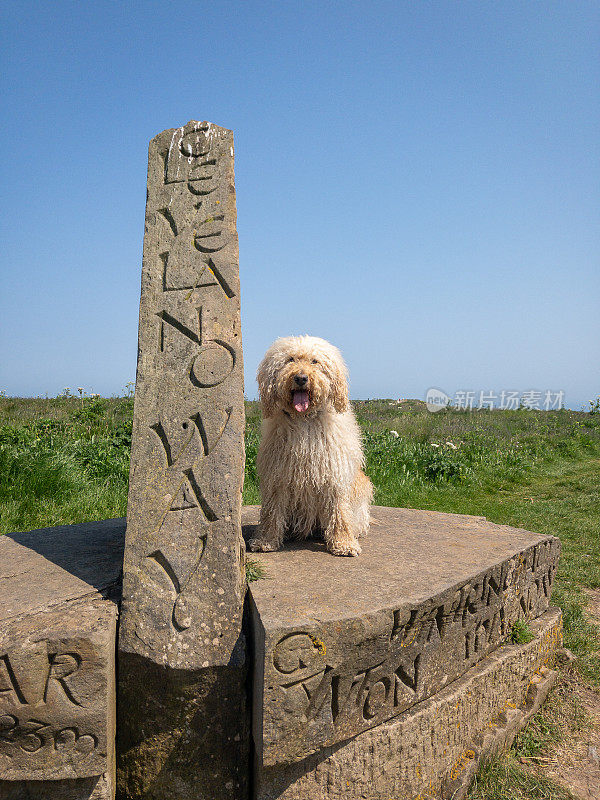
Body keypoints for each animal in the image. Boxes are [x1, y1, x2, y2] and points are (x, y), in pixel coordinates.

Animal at [247, 334, 370, 552]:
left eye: (315, 361)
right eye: (290, 359)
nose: (301, 378)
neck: (304, 420)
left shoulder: (334, 476)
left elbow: (339, 510)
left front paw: (343, 542)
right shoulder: (277, 477)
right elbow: (272, 512)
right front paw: (266, 540)